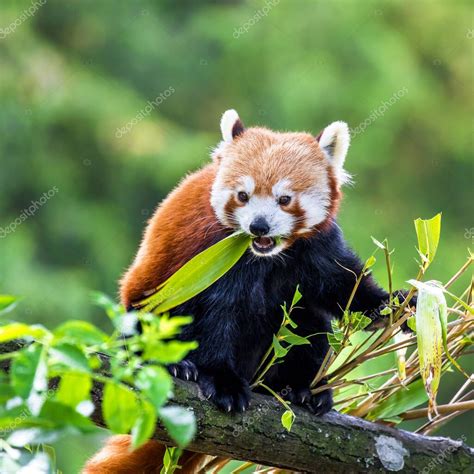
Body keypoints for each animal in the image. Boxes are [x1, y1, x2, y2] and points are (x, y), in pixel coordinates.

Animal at [83, 109, 412, 472]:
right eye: (243, 195)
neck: (266, 257)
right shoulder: (211, 256)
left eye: (284, 199)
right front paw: (222, 381)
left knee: (307, 321)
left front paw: (392, 305)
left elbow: (342, 286)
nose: (259, 226)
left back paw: (299, 388)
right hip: (146, 304)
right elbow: (217, 318)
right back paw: (177, 365)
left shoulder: (318, 247)